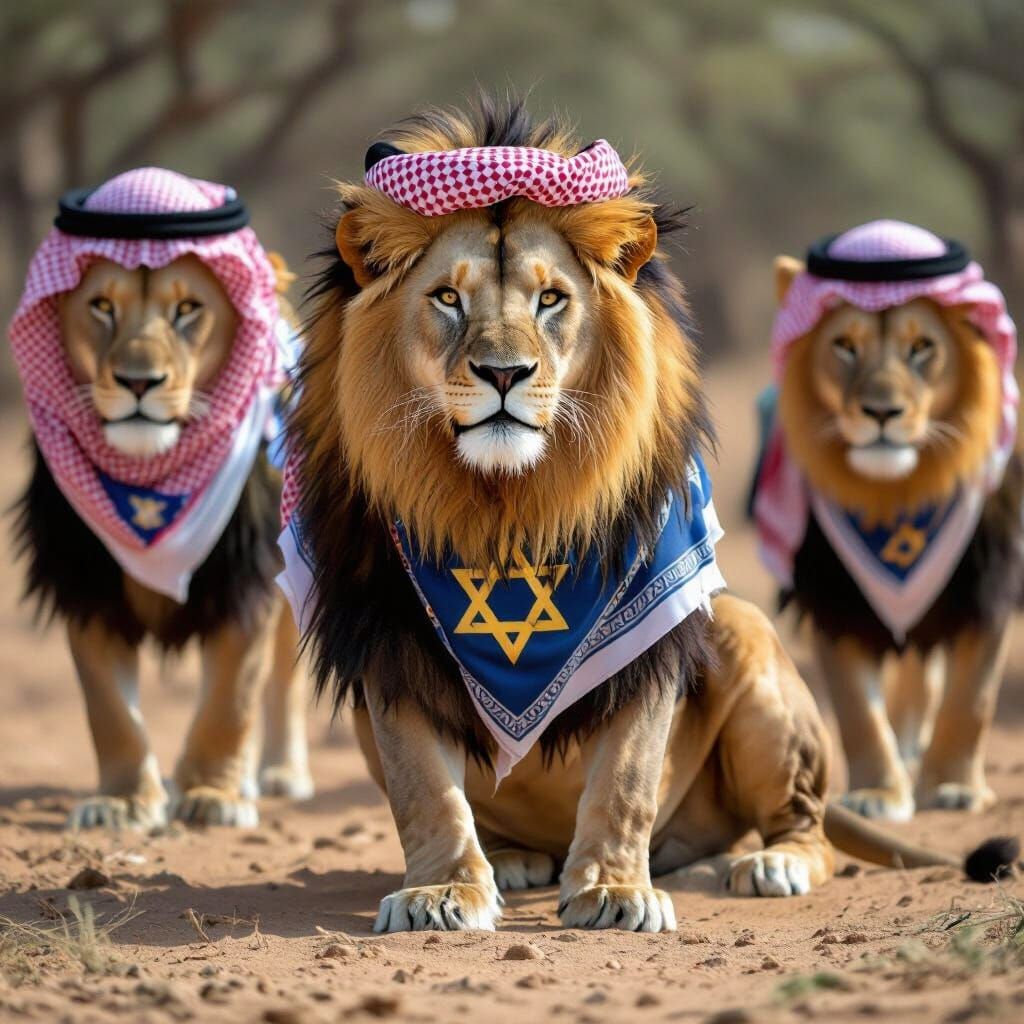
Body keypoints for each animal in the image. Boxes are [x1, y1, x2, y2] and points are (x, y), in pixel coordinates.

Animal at [10, 169, 313, 830]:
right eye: (102, 307)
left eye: (187, 310)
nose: (137, 382)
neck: (152, 482)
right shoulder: (87, 584)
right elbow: (109, 710)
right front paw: (122, 802)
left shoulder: (246, 579)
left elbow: (231, 697)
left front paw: (212, 795)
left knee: (281, 680)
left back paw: (277, 773)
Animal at [757, 224, 1022, 821]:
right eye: (844, 346)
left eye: (922, 347)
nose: (882, 413)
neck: (898, 493)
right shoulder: (834, 601)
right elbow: (857, 712)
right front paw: (877, 794)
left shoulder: (984, 593)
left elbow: (970, 702)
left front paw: (952, 786)